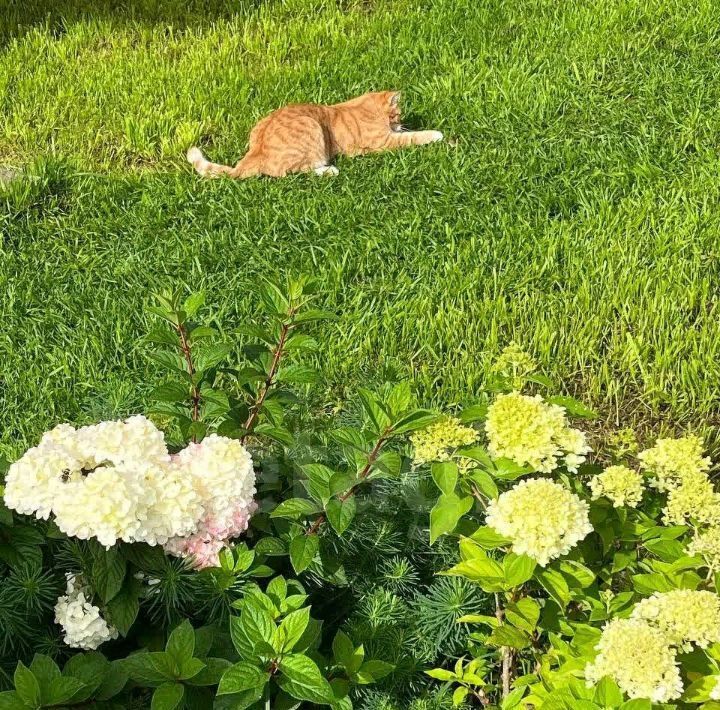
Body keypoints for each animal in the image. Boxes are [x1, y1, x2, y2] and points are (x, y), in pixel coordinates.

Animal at [184, 90, 444, 179]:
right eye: (398, 115)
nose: (400, 123)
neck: (368, 108)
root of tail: (253, 153)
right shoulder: (384, 141)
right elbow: (415, 137)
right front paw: (436, 134)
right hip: (312, 129)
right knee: (294, 171)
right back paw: (329, 170)